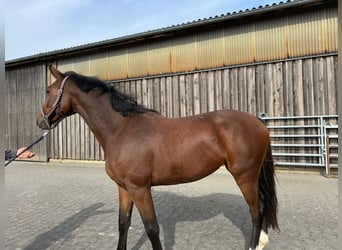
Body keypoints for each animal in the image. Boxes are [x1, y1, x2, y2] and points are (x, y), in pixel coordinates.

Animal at [37, 66, 278, 250]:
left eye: (48, 90)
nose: (40, 121)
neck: (122, 129)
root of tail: (258, 123)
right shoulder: (124, 188)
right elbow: (123, 223)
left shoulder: (140, 188)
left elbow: (152, 229)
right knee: (262, 206)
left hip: (244, 177)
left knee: (256, 211)